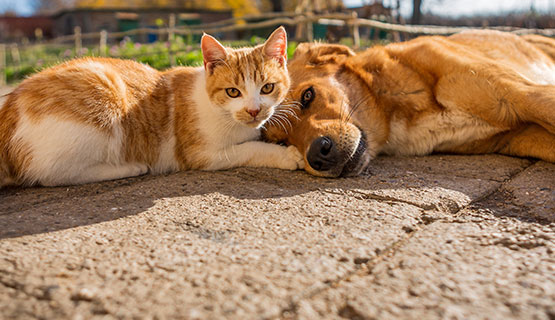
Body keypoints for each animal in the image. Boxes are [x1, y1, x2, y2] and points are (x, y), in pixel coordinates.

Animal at [0, 28, 304, 188]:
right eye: (233, 92)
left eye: (267, 88)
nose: (253, 111)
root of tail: (10, 106)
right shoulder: (200, 154)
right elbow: (248, 149)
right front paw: (286, 155)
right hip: (103, 98)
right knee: (54, 174)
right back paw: (128, 167)